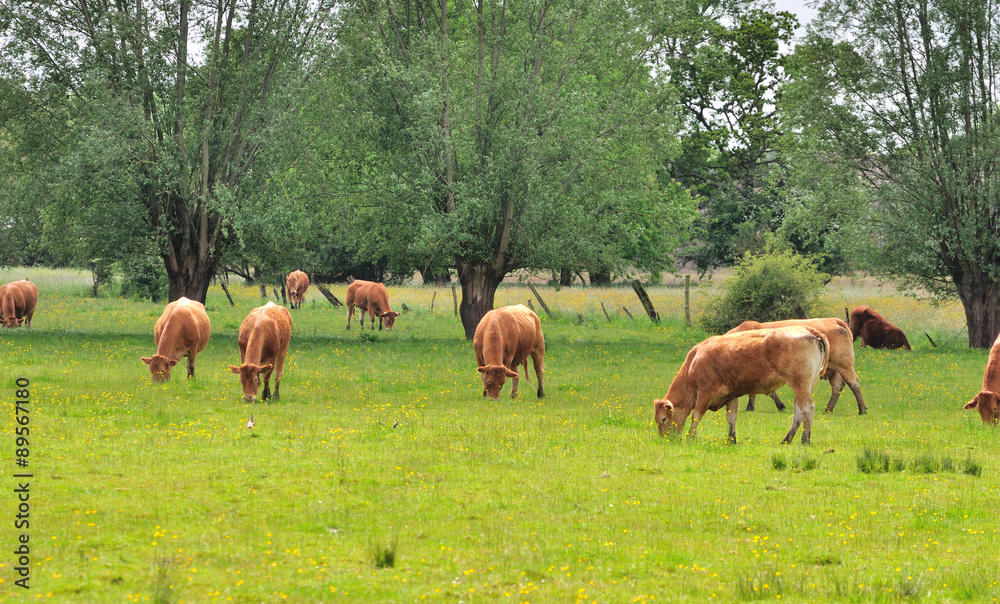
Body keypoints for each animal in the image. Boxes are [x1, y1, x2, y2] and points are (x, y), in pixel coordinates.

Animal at [654, 326, 829, 444]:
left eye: (663, 419)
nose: (664, 440)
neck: (694, 361)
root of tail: (808, 330)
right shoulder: (731, 395)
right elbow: (731, 417)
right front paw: (731, 439)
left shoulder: (706, 392)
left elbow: (696, 415)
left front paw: (690, 437)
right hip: (803, 386)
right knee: (798, 411)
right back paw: (787, 439)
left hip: (800, 384)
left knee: (807, 409)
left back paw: (805, 439)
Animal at [727, 318, 866, 415]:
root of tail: (833, 320)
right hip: (834, 369)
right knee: (837, 386)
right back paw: (828, 409)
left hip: (844, 365)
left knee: (853, 383)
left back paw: (862, 409)